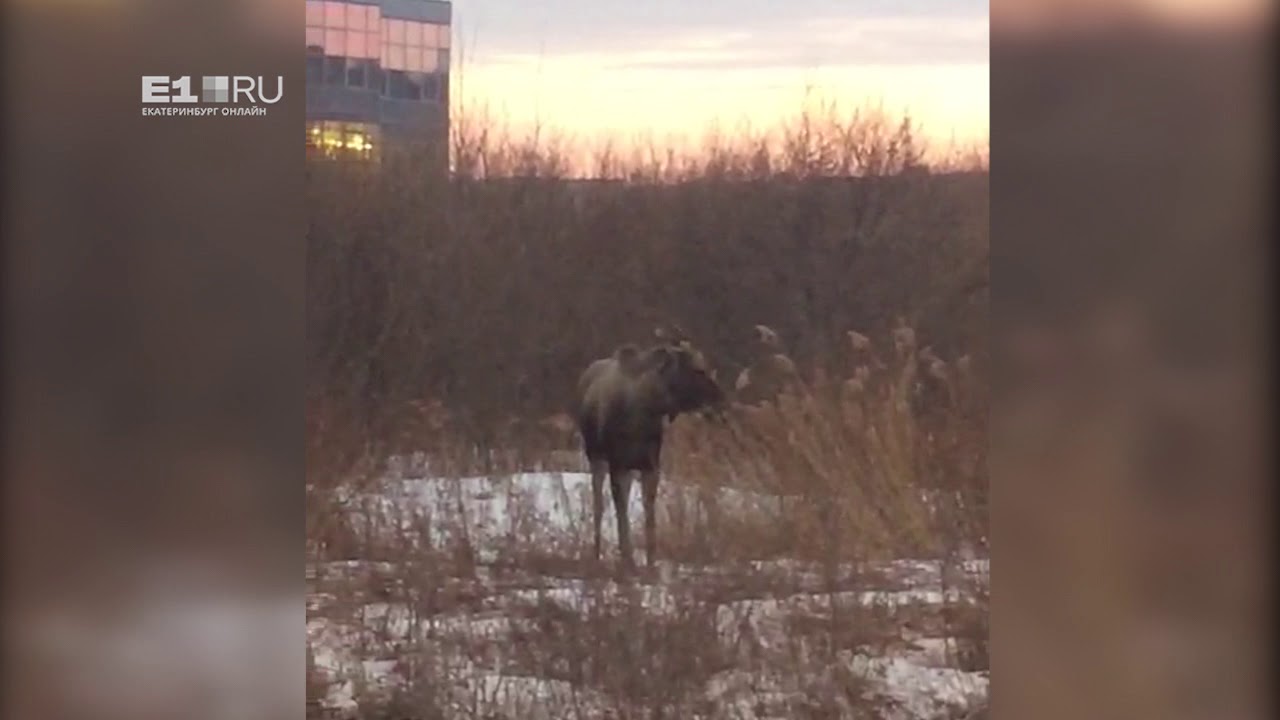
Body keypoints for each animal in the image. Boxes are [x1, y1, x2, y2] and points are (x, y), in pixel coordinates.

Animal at [576, 327, 727, 568]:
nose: (721, 400)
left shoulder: (651, 466)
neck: (648, 410)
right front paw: (627, 558)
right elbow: (621, 512)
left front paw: (650, 560)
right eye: (697, 370)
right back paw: (597, 552)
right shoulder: (617, 464)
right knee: (598, 503)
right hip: (595, 456)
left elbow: (649, 515)